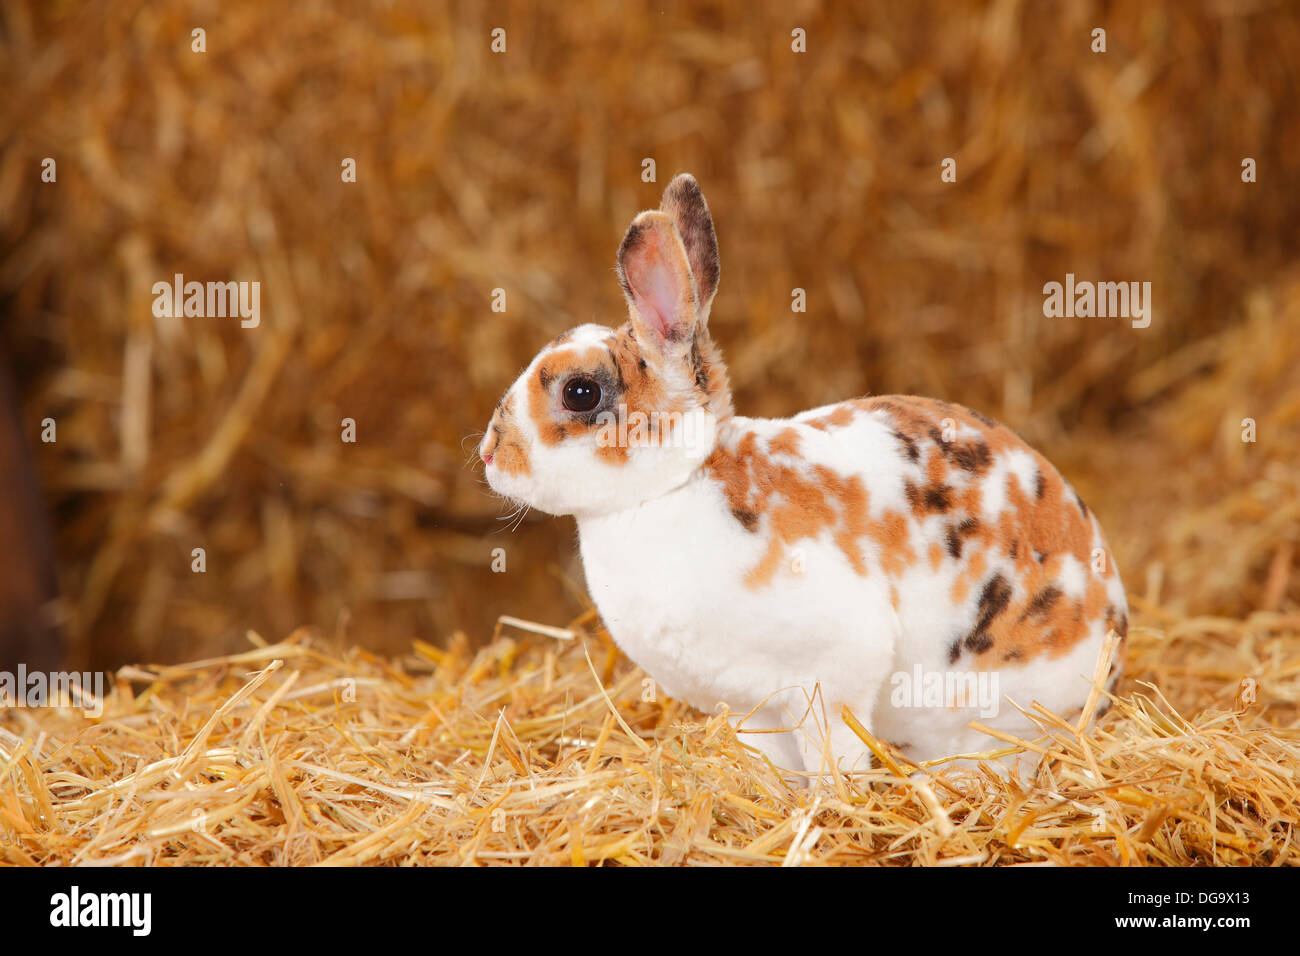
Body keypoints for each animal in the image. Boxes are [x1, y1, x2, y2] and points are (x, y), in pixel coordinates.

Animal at [480, 173, 1128, 777]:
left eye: (580, 392)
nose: (490, 454)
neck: (674, 487)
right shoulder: (752, 706)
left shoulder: (830, 677)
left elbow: (833, 751)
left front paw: (829, 803)